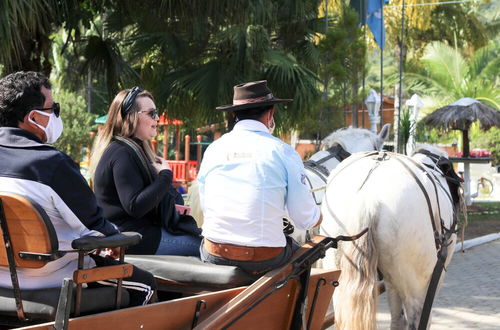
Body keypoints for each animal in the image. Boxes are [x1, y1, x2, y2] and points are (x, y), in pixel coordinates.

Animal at [322, 145, 458, 330]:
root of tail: (367, 197)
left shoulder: (391, 279)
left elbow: (396, 317)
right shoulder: (434, 276)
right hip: (415, 282)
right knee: (417, 318)